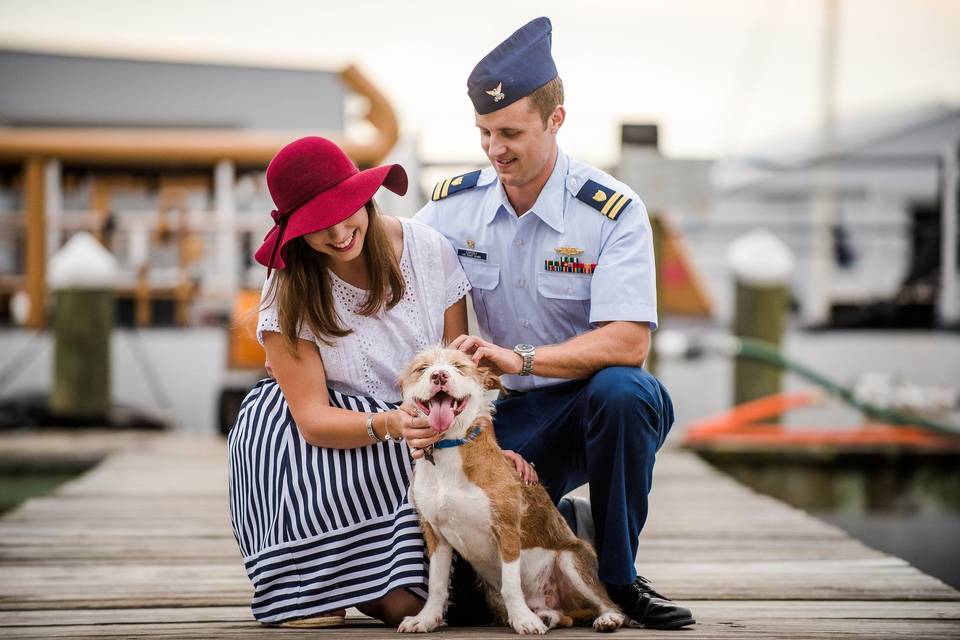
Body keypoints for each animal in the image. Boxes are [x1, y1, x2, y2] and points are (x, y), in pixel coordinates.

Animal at [396, 348, 624, 636]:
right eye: (422, 368)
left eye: (459, 366)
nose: (439, 375)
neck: (449, 448)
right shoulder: (435, 534)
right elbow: (436, 584)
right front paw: (426, 619)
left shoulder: (507, 529)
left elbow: (511, 584)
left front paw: (524, 620)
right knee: (565, 615)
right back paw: (547, 616)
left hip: (571, 559)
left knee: (607, 602)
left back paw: (606, 618)